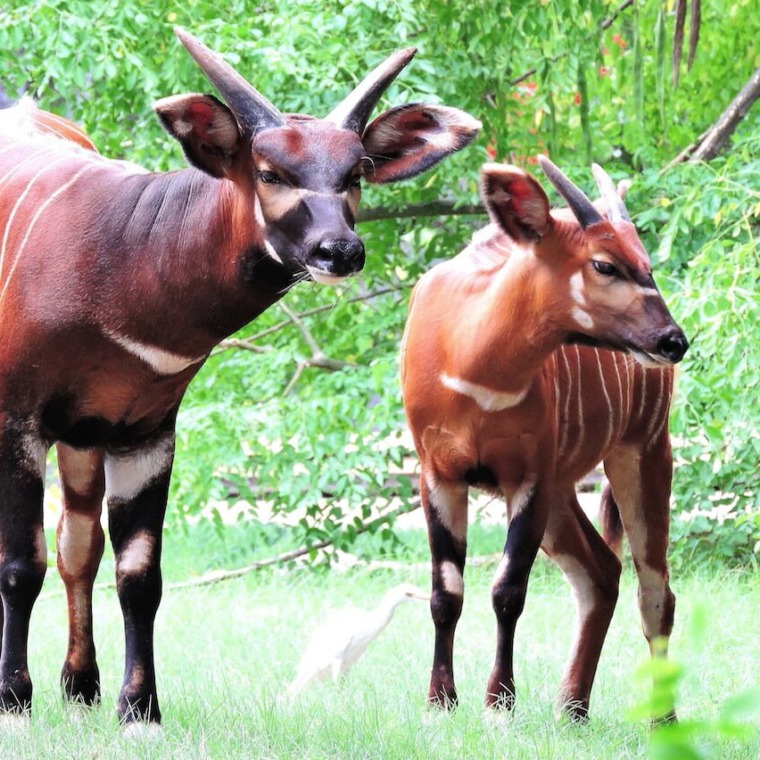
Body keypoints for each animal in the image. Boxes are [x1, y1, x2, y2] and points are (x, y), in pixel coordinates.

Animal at [0, 31, 478, 732]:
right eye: (270, 171)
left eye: (356, 171)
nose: (340, 251)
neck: (121, 256)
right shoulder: (19, 421)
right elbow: (18, 564)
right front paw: (13, 701)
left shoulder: (142, 431)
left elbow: (138, 574)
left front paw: (137, 707)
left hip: (84, 441)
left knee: (78, 547)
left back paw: (80, 686)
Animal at [404, 159, 688, 720]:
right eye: (605, 264)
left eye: (647, 263)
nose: (673, 340)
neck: (468, 356)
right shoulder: (438, 473)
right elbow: (446, 592)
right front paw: (440, 702)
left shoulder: (527, 477)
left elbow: (508, 591)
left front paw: (499, 703)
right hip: (563, 490)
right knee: (602, 572)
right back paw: (571, 707)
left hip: (643, 450)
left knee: (654, 589)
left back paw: (661, 718)